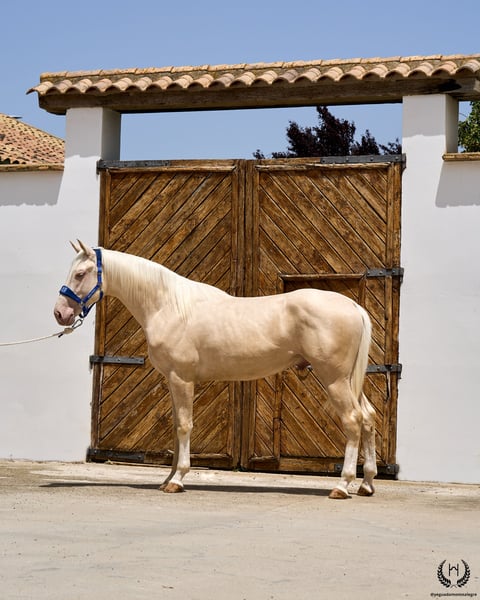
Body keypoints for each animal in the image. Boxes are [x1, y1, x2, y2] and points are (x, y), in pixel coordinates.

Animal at [54, 240, 377, 499]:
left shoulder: (182, 378)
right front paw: (167, 479)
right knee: (368, 418)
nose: (60, 313)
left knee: (352, 421)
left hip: (334, 379)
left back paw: (343, 485)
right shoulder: (172, 380)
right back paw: (367, 483)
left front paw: (178, 480)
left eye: (80, 274)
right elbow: (176, 427)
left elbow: (184, 426)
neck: (169, 306)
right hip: (349, 380)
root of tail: (353, 306)